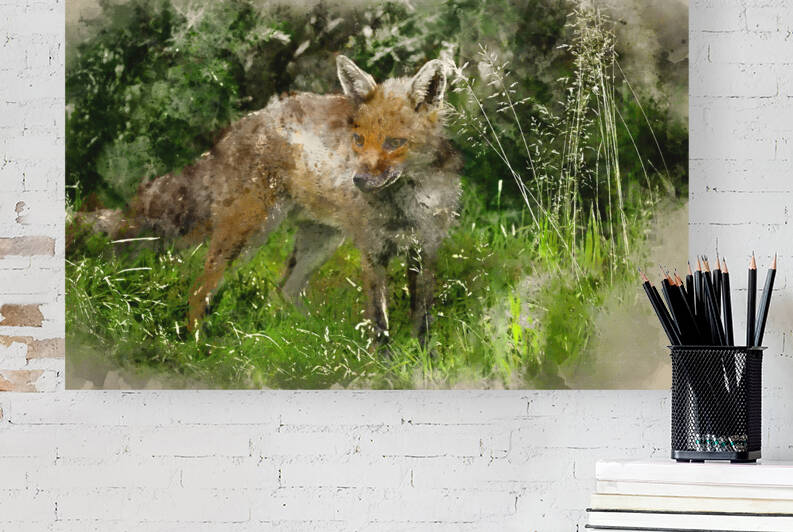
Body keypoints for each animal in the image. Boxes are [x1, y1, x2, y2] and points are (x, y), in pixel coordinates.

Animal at [80, 56, 462, 346]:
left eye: (394, 143)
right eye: (358, 140)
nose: (359, 181)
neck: (406, 207)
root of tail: (242, 126)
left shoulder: (425, 249)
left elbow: (422, 317)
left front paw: (422, 360)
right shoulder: (373, 250)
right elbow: (380, 322)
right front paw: (384, 365)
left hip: (319, 241)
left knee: (283, 291)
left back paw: (313, 340)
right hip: (247, 234)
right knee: (199, 290)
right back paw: (196, 347)